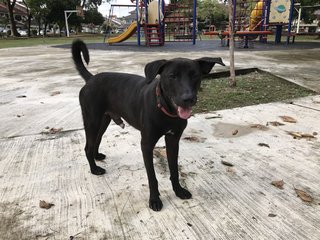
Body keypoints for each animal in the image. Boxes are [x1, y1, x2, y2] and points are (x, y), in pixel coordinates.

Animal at [72, 40, 225, 211]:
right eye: (172, 76)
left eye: (195, 76)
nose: (188, 99)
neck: (165, 110)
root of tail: (91, 79)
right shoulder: (146, 144)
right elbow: (152, 177)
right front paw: (154, 199)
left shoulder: (173, 141)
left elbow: (174, 169)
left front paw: (178, 190)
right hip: (92, 120)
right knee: (87, 146)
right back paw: (94, 169)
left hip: (104, 119)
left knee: (97, 139)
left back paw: (97, 156)